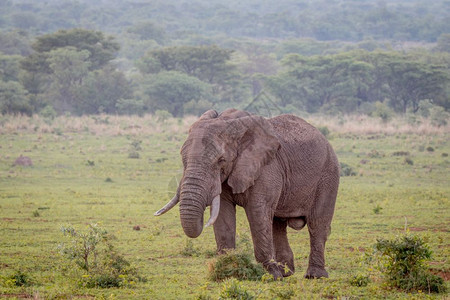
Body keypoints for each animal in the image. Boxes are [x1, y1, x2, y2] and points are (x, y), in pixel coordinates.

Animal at [153, 109, 340, 280]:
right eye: (183, 158)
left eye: (221, 160)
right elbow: (223, 214)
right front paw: (225, 271)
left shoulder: (266, 168)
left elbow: (257, 212)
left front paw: (270, 276)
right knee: (277, 224)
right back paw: (286, 273)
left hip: (328, 175)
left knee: (317, 223)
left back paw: (314, 276)